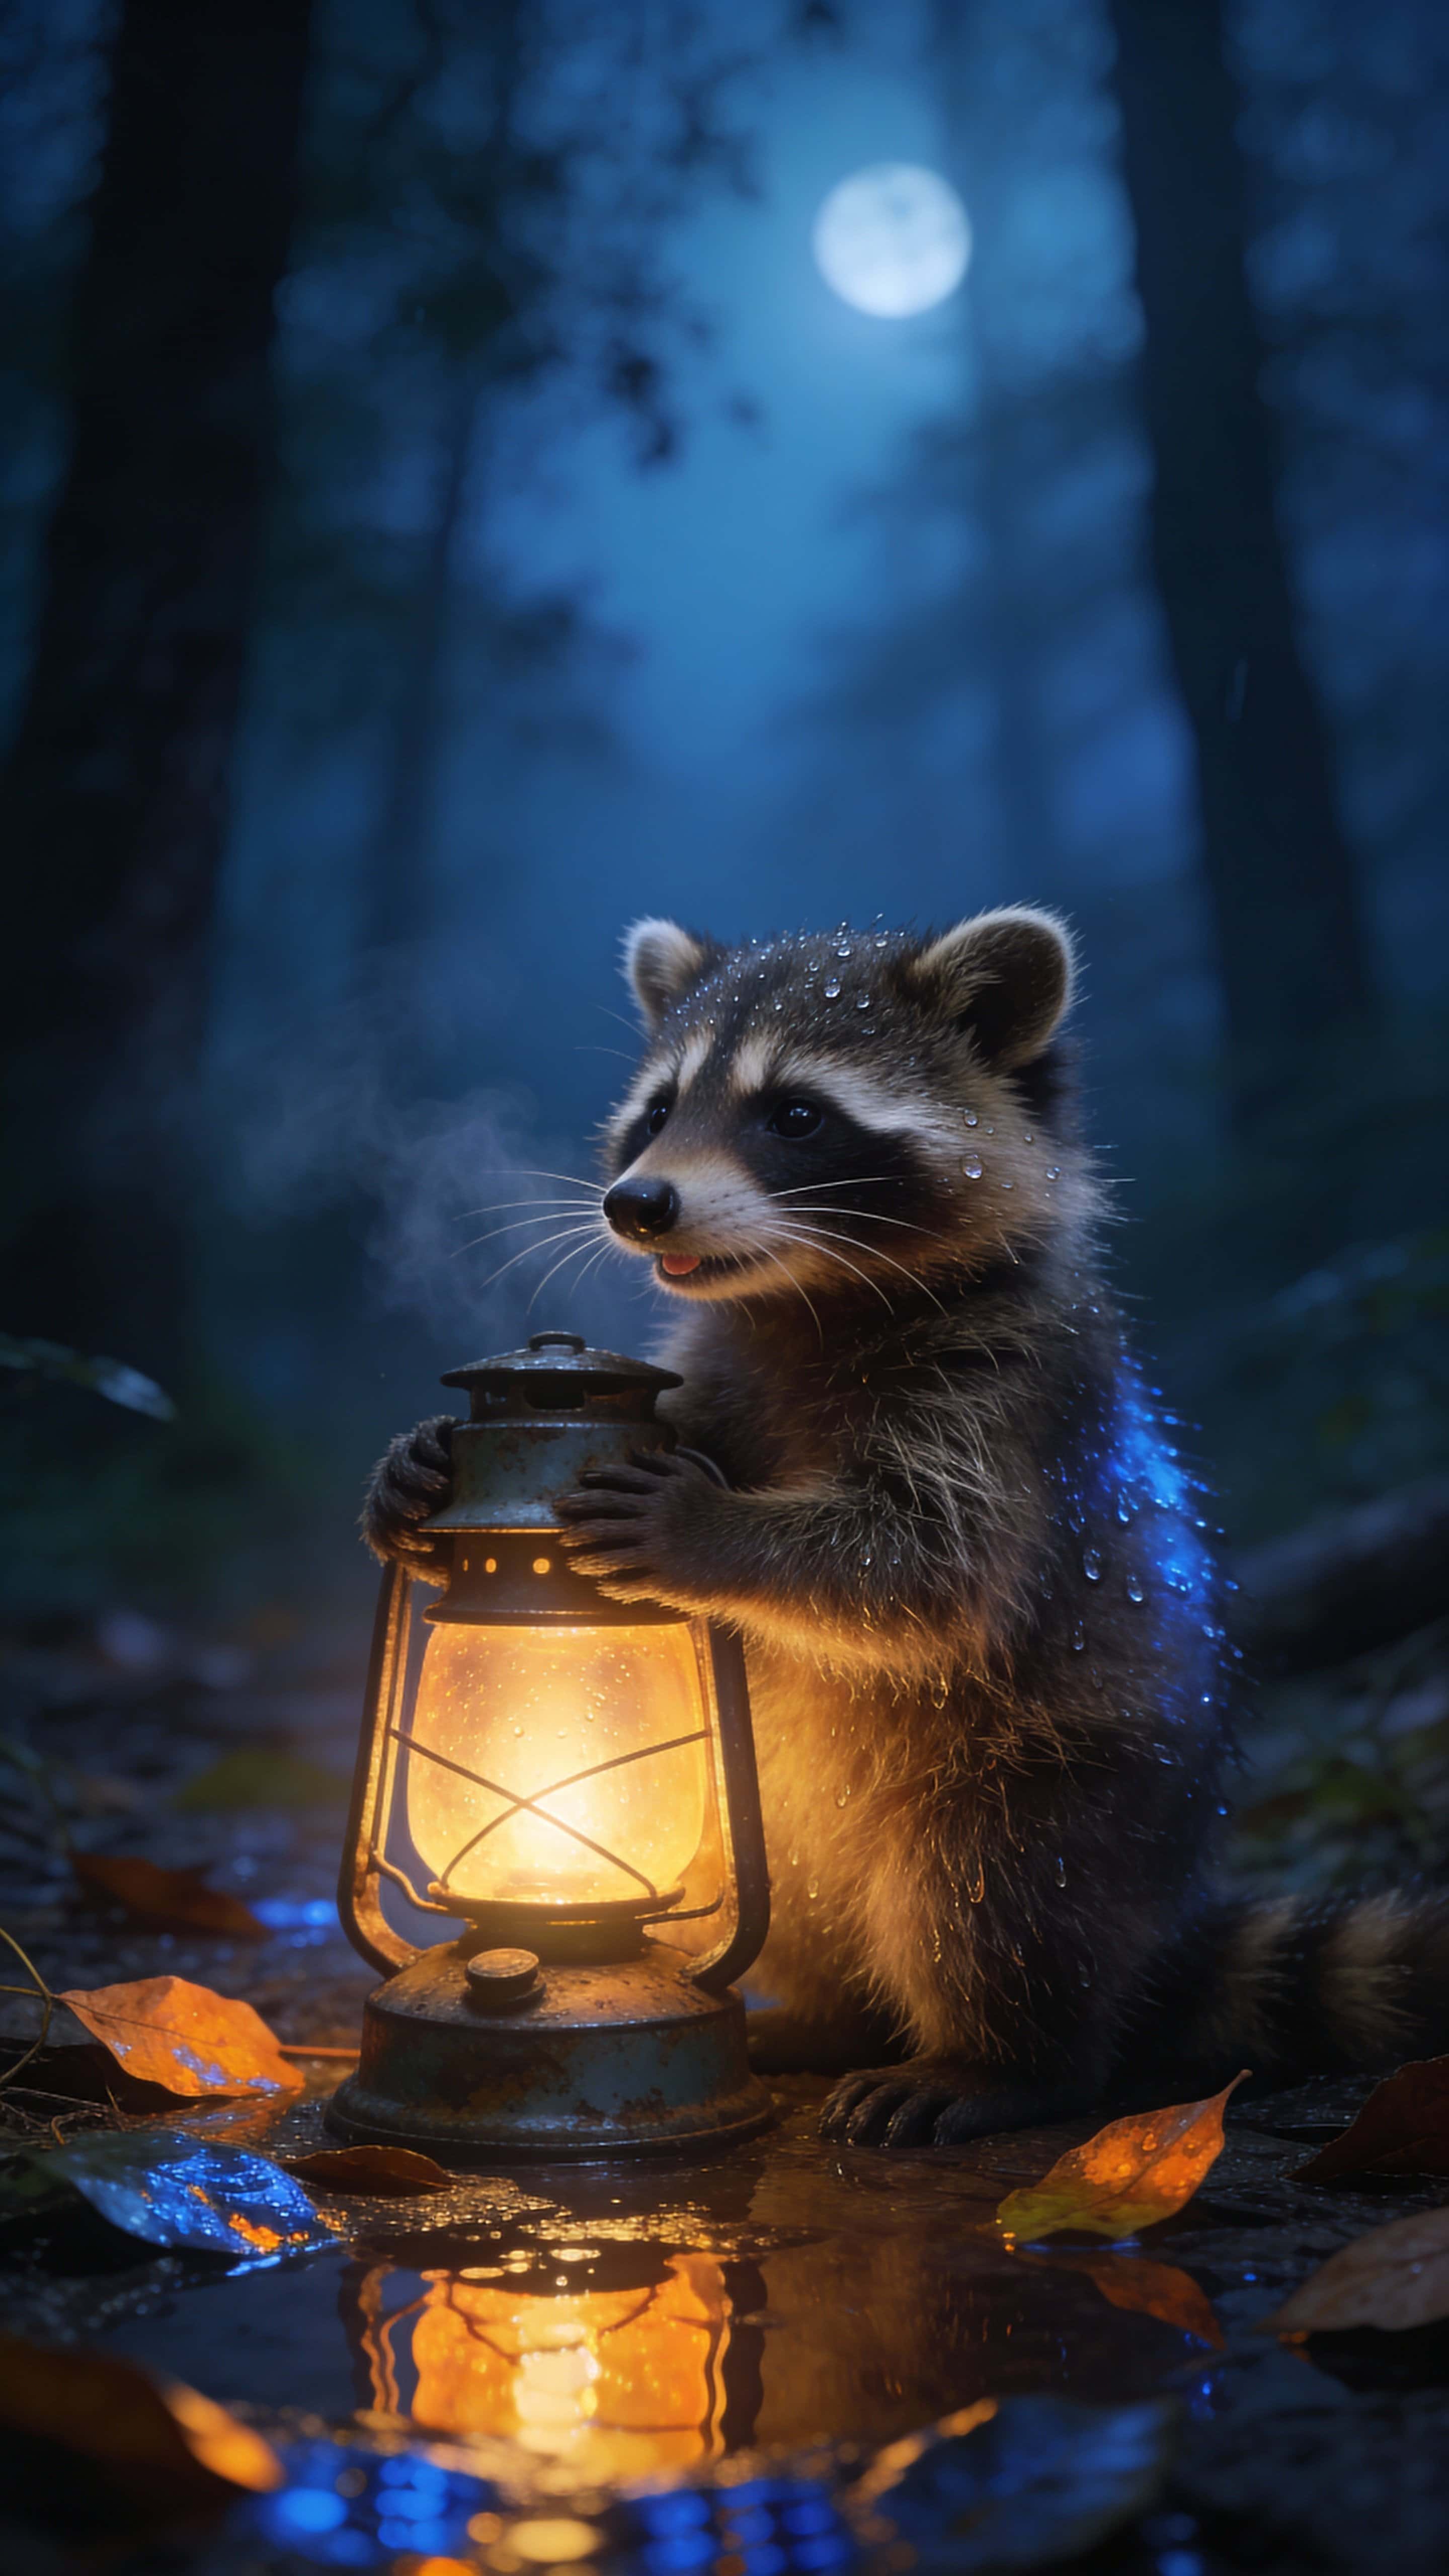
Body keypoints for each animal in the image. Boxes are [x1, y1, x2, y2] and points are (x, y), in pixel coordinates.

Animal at [366, 911, 1449, 2146]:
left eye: (794, 1114)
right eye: (658, 1111)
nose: (638, 1204)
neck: (804, 1296)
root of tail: (1152, 1930)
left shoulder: (1008, 1393)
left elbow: (926, 1568)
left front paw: (708, 1529)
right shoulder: (726, 1361)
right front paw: (408, 1471)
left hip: (1064, 1774)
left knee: (991, 1895)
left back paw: (1004, 2058)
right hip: (775, 1818)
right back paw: (832, 2014)